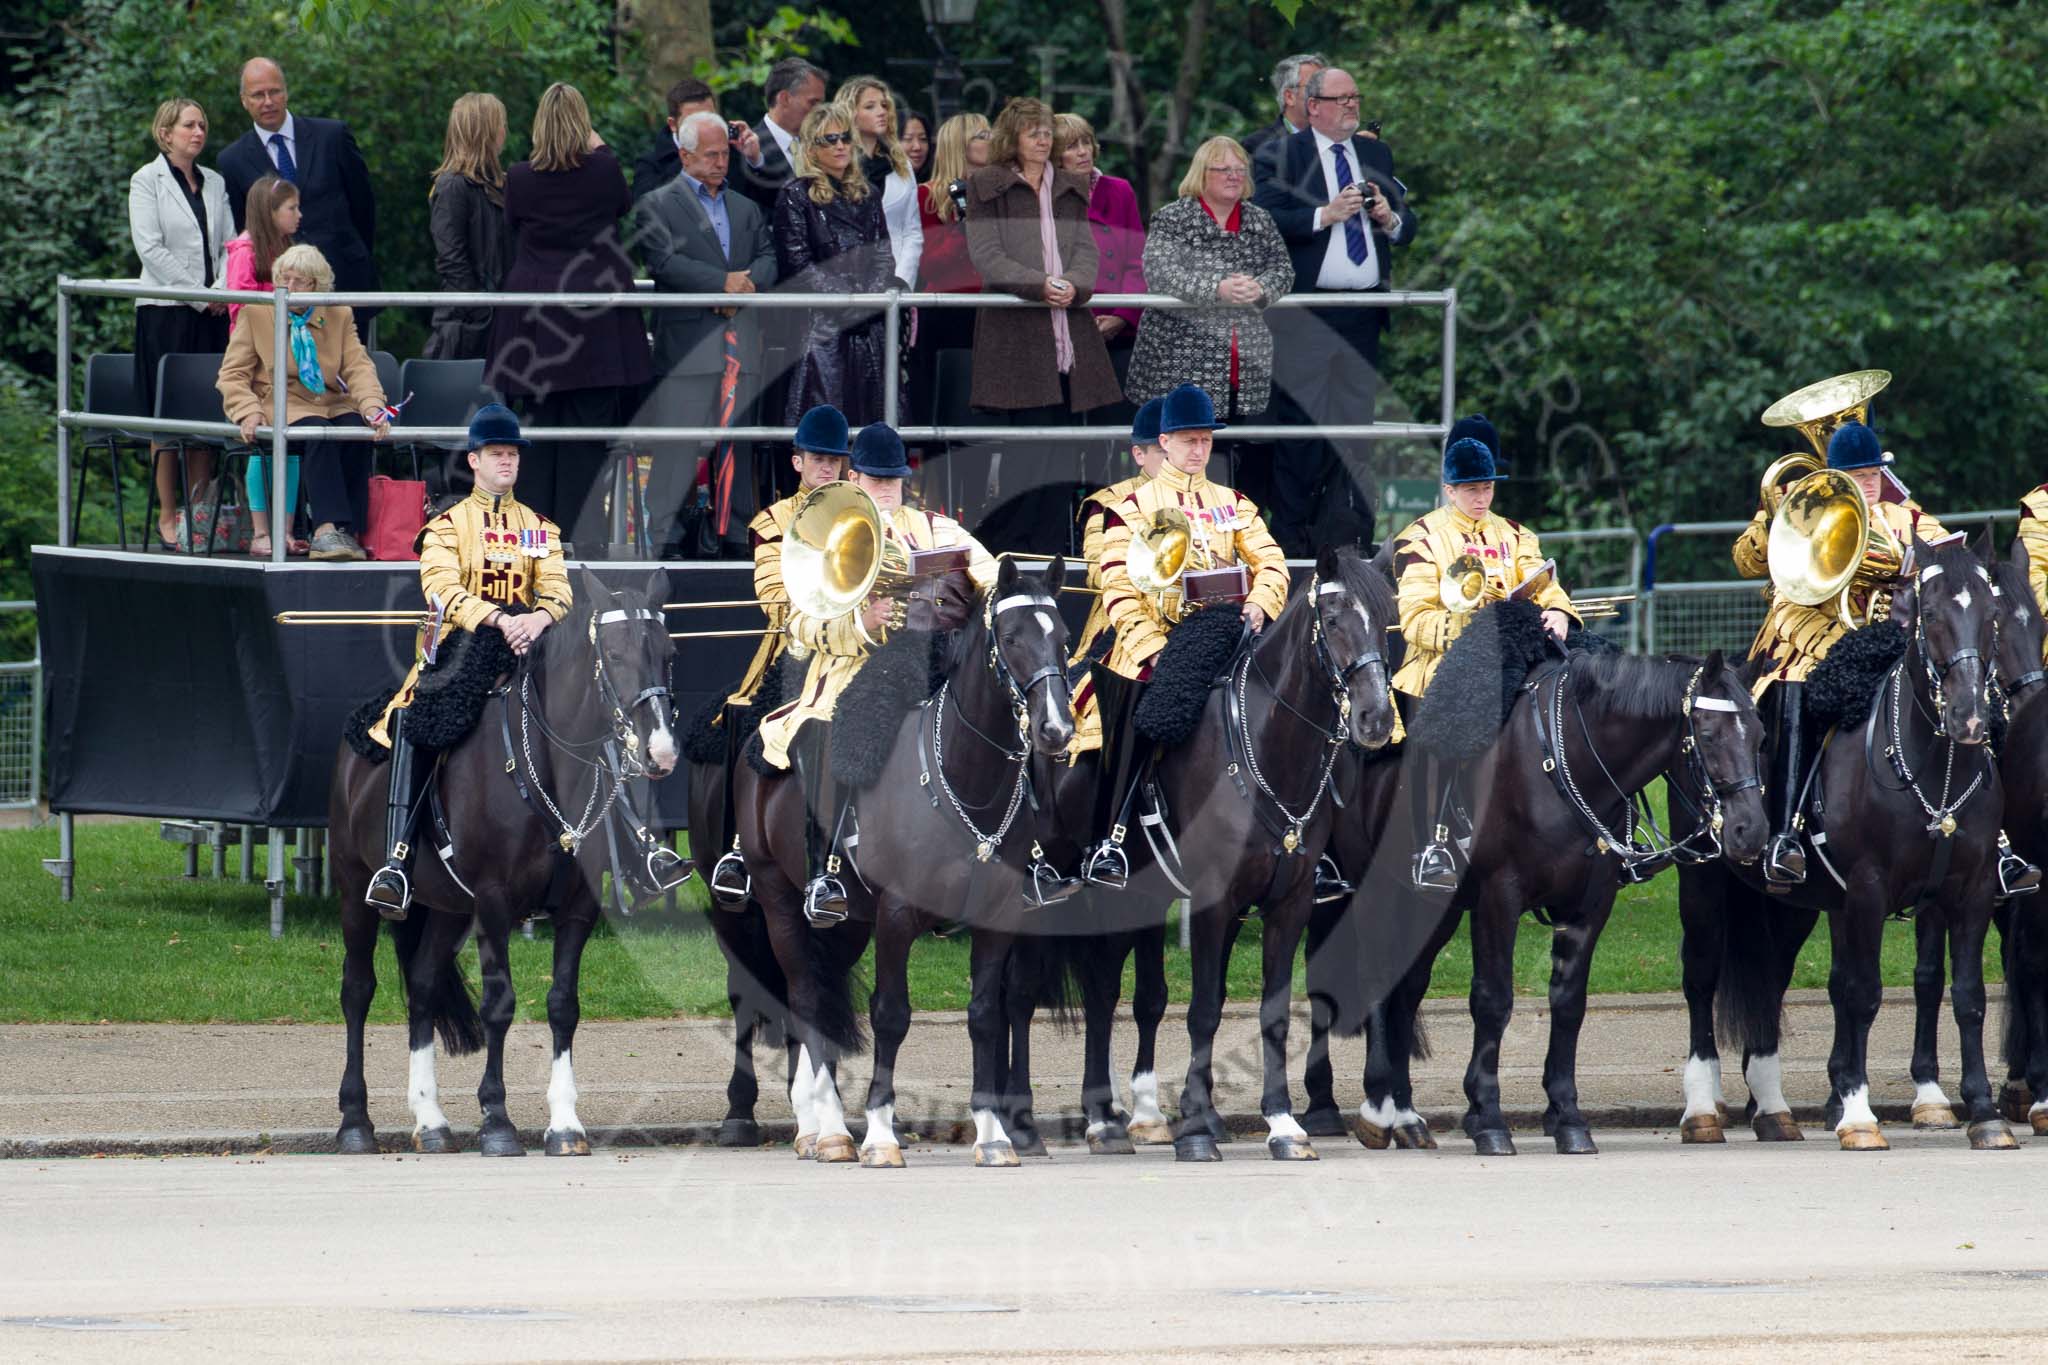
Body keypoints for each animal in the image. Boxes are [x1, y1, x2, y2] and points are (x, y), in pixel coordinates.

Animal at [329, 573, 679, 1162]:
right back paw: (355, 1121)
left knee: (422, 986)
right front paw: (496, 1120)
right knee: (357, 990)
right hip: (355, 888)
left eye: (668, 652)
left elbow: (563, 1005)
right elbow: (500, 1004)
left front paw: (565, 1124)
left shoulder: (577, 911)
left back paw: (431, 1120)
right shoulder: (493, 904)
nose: (661, 751)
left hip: (447, 908)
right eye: (613, 653)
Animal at [729, 556, 1073, 1162]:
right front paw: (882, 1133)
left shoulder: (996, 919)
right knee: (804, 997)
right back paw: (829, 1128)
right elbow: (891, 1015)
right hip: (778, 900)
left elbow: (985, 1016)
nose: (1056, 730)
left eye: (1065, 638)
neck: (965, 777)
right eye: (1011, 638)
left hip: (845, 925)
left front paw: (992, 1133)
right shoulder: (895, 917)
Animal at [1318, 642, 1769, 1154]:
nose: (1750, 832)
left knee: (1408, 989)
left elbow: (1568, 1003)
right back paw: (1377, 1110)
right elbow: (1493, 1000)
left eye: (1760, 736)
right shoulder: (1499, 898)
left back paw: (1407, 1117)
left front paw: (1567, 1117)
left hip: (1436, 909)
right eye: (1708, 735)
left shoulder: (1590, 906)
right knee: (1378, 978)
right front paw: (1489, 1117)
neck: (1568, 761)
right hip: (1380, 893)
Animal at [1679, 540, 2015, 1154]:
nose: (1970, 717)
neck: (1936, 771)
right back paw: (1703, 1108)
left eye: (1992, 615)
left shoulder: (1972, 890)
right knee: (1700, 978)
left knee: (1772, 978)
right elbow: (1862, 992)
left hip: (1793, 905)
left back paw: (1771, 1106)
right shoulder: (1866, 889)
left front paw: (1984, 1112)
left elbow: (1969, 995)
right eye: (1931, 615)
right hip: (1704, 884)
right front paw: (1858, 1115)